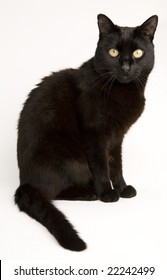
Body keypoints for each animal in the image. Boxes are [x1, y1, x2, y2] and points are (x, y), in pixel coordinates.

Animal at [14, 14, 158, 250]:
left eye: (138, 53)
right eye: (113, 52)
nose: (126, 67)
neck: (123, 91)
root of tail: (23, 182)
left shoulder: (117, 138)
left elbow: (116, 165)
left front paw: (122, 188)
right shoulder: (95, 134)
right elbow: (101, 167)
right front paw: (108, 193)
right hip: (69, 158)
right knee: (53, 192)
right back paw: (90, 193)